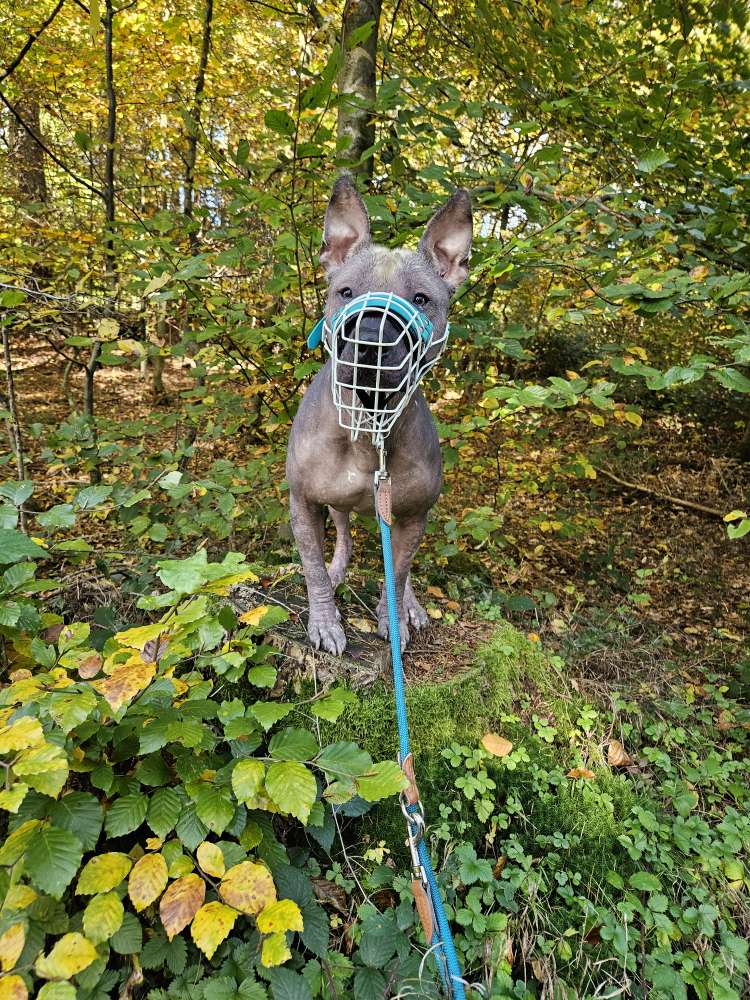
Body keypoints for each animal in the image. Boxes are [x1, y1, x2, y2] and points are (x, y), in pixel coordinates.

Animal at [284, 174, 472, 656]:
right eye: (346, 292)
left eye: (421, 299)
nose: (371, 338)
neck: (369, 427)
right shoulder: (303, 503)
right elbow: (312, 567)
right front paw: (324, 619)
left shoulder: (413, 515)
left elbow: (399, 572)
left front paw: (396, 617)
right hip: (337, 508)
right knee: (344, 541)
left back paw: (410, 605)